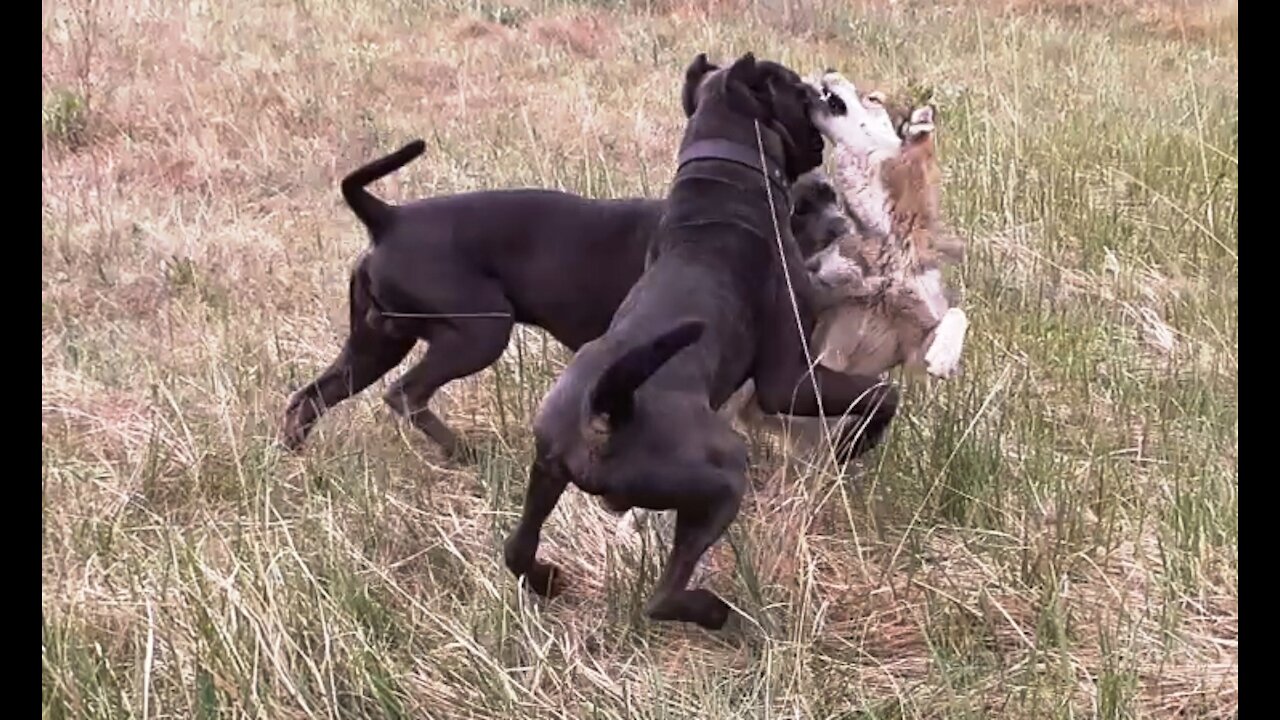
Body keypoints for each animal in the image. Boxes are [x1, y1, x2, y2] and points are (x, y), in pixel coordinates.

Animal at [279, 125, 849, 453]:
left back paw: (295, 457)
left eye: (833, 196)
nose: (844, 226)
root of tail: (387, 218)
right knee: (406, 393)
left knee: (309, 397)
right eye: (801, 208)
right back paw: (461, 452)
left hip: (375, 344)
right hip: (480, 332)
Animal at [501, 51, 901, 627]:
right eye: (798, 91)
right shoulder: (789, 378)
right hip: (725, 475)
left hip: (546, 469)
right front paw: (855, 444)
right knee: (663, 596)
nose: (823, 91)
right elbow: (881, 394)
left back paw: (546, 579)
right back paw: (718, 613)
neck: (723, 177)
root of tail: (604, 410)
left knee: (516, 548)